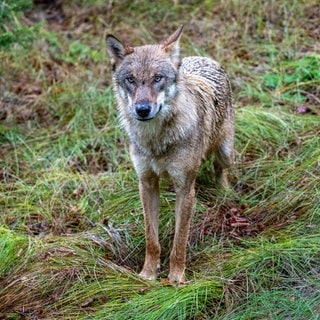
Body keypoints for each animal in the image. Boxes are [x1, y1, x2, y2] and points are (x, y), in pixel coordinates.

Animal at [106, 26, 234, 284]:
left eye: (158, 78)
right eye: (131, 79)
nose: (142, 109)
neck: (156, 140)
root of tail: (204, 58)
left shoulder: (185, 189)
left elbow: (179, 241)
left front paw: (175, 279)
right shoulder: (146, 183)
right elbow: (151, 239)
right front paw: (148, 274)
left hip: (225, 152)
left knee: (220, 169)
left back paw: (224, 192)